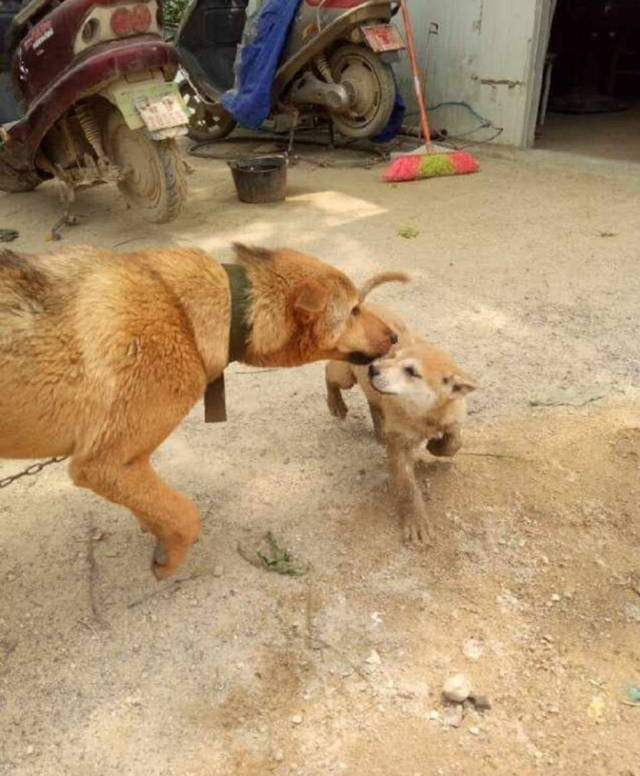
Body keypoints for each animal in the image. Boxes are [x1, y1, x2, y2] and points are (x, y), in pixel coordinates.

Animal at [0, 242, 396, 576]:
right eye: (354, 310)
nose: (394, 336)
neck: (191, 315)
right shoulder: (104, 463)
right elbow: (187, 515)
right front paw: (169, 557)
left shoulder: (127, 465)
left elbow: (158, 503)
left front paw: (156, 527)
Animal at [324, 276, 476, 544]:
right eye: (394, 357)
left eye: (412, 371)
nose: (373, 368)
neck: (424, 414)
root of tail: (364, 307)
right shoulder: (399, 445)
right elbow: (407, 486)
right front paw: (416, 522)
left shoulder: (454, 418)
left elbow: (454, 442)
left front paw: (435, 446)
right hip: (345, 375)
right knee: (329, 374)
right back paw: (336, 405)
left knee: (374, 404)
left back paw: (378, 432)